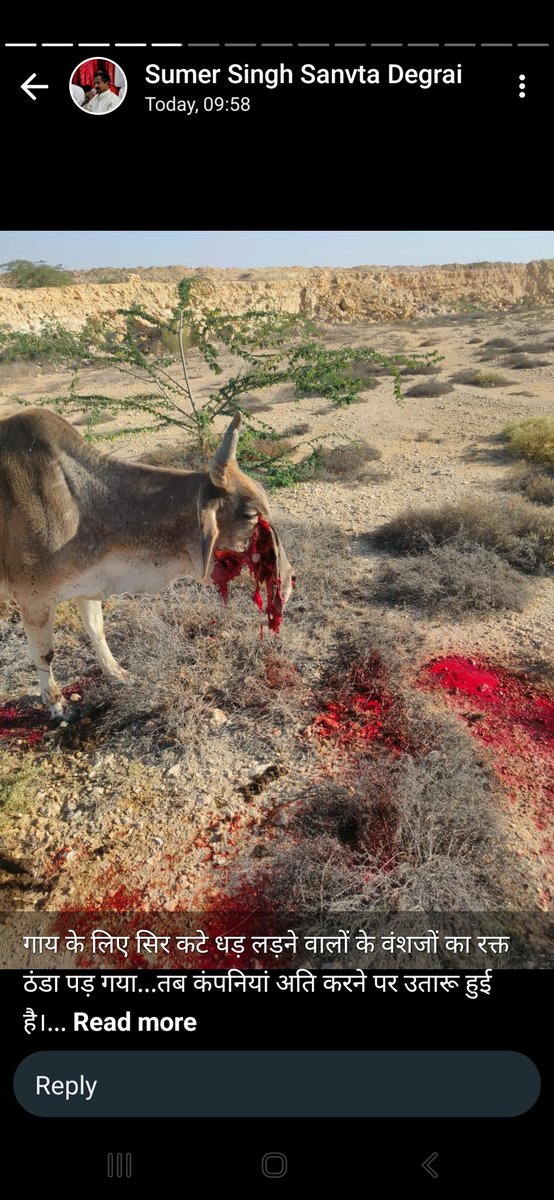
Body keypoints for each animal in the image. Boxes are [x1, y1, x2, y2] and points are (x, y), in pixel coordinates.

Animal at [0, 408, 295, 717]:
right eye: (250, 515)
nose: (288, 581)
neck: (80, 504)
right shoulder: (34, 599)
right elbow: (45, 653)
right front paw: (57, 704)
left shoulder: (87, 584)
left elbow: (97, 630)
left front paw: (117, 673)